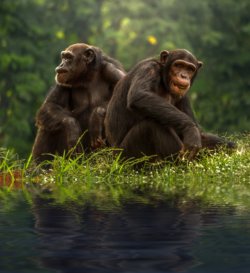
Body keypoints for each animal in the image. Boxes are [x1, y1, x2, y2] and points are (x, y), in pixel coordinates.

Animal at [104, 48, 235, 159]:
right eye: (178, 65)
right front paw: (191, 130)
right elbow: (139, 95)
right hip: (126, 157)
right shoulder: (148, 68)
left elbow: (200, 133)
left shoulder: (184, 97)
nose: (183, 75)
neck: (163, 80)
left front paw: (228, 146)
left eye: (190, 69)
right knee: (151, 126)